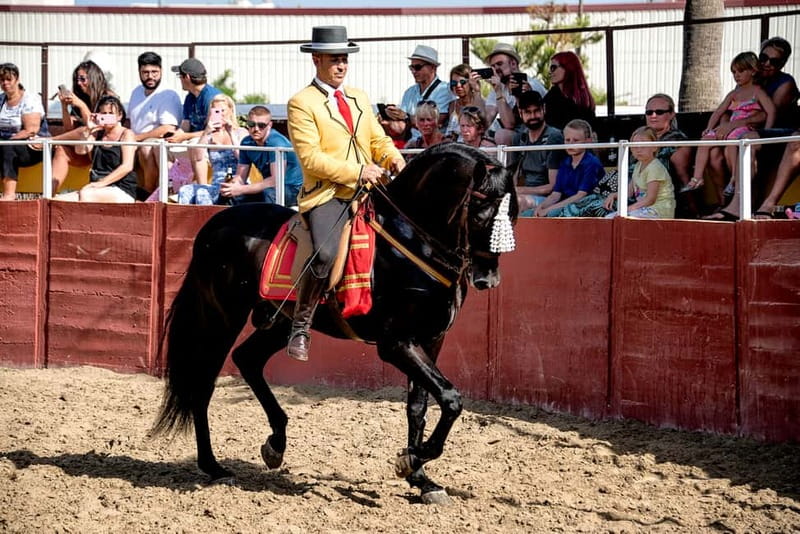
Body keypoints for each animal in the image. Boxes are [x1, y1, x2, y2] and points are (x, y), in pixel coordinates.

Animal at [152, 143, 518, 504]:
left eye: (512, 214)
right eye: (481, 215)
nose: (488, 280)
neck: (412, 243)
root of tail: (216, 223)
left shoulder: (430, 339)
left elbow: (421, 405)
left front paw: (420, 477)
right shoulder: (396, 343)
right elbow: (451, 399)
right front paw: (412, 459)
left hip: (279, 322)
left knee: (248, 359)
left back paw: (275, 444)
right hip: (222, 316)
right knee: (203, 382)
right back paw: (213, 467)